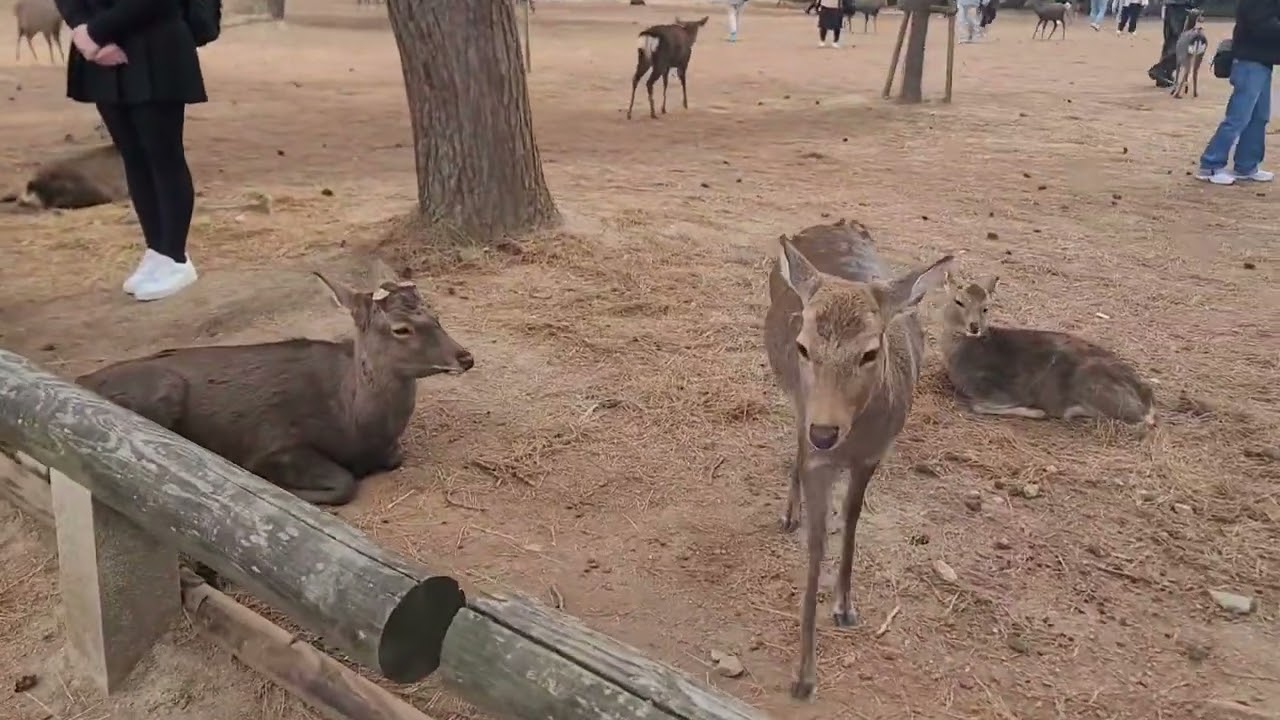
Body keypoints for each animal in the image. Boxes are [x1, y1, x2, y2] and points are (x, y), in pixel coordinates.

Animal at [76, 268, 475, 506]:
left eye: (436, 316)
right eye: (400, 328)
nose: (466, 357)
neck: (354, 424)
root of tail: (80, 380)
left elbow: (391, 459)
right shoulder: (275, 441)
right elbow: (343, 483)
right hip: (164, 389)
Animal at [764, 219, 952, 701]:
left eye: (869, 351)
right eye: (803, 346)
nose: (825, 432)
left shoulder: (873, 454)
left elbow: (851, 521)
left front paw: (846, 607)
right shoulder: (818, 453)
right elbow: (816, 546)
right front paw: (803, 676)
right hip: (796, 403)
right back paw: (788, 513)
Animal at [938, 273, 1155, 426]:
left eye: (986, 307)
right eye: (958, 301)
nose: (974, 327)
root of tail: (1146, 396)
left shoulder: (997, 389)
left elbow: (977, 406)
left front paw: (1036, 411)